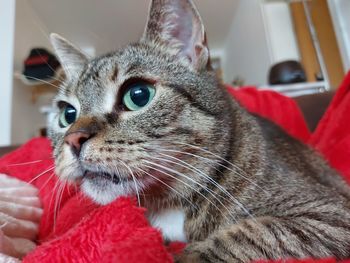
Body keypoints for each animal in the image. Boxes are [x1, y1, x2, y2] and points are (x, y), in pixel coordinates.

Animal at [48, 0, 350, 263]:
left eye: (138, 95)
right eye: (67, 114)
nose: (74, 139)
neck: (167, 204)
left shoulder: (332, 215)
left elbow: (248, 233)